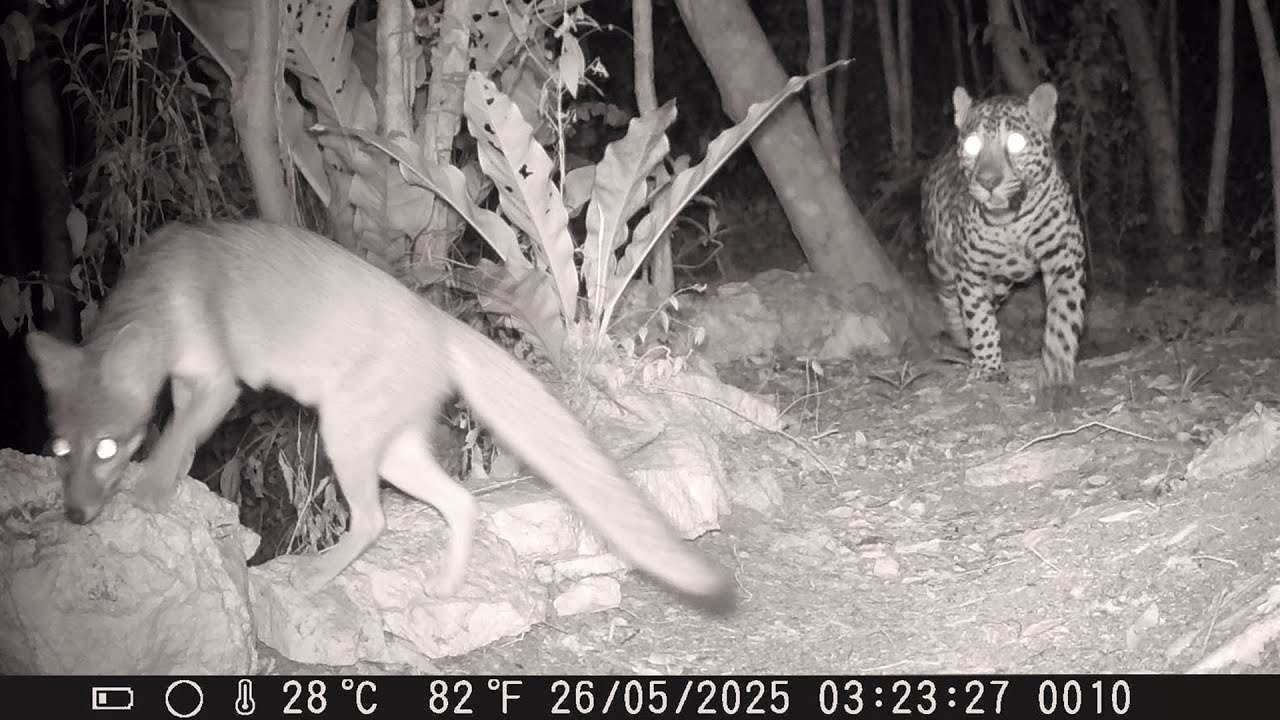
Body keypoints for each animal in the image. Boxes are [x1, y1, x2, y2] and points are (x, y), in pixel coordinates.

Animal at [920, 82, 1086, 410]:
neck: (1011, 224)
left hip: (1000, 283)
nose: (988, 181)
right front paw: (988, 368)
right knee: (950, 299)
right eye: (973, 144)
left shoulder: (1064, 259)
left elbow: (1063, 317)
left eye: (1016, 142)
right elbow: (978, 318)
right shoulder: (971, 271)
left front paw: (1056, 377)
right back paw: (962, 339)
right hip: (941, 261)